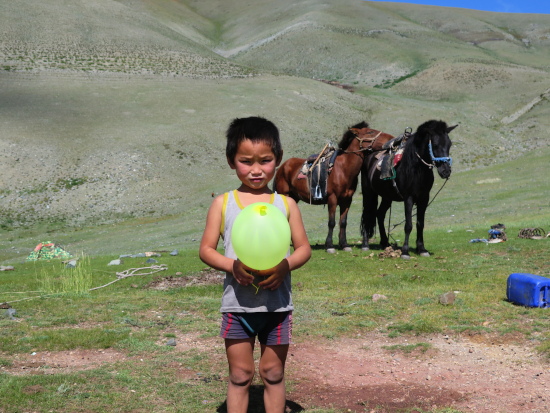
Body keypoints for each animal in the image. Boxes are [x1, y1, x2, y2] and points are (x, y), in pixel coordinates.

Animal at [274, 120, 394, 251]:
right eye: (370, 132)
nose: (391, 138)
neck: (343, 169)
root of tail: (282, 167)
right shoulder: (332, 198)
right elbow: (331, 222)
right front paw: (330, 245)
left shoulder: (347, 200)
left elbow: (343, 222)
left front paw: (344, 244)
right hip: (284, 195)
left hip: (294, 198)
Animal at [360, 118, 460, 258]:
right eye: (435, 145)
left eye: (449, 144)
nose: (446, 171)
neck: (416, 169)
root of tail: (368, 156)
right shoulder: (409, 198)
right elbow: (408, 225)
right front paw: (405, 251)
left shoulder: (424, 198)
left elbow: (420, 224)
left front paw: (422, 249)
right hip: (368, 193)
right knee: (367, 214)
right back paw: (365, 244)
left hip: (387, 197)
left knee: (380, 214)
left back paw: (385, 243)